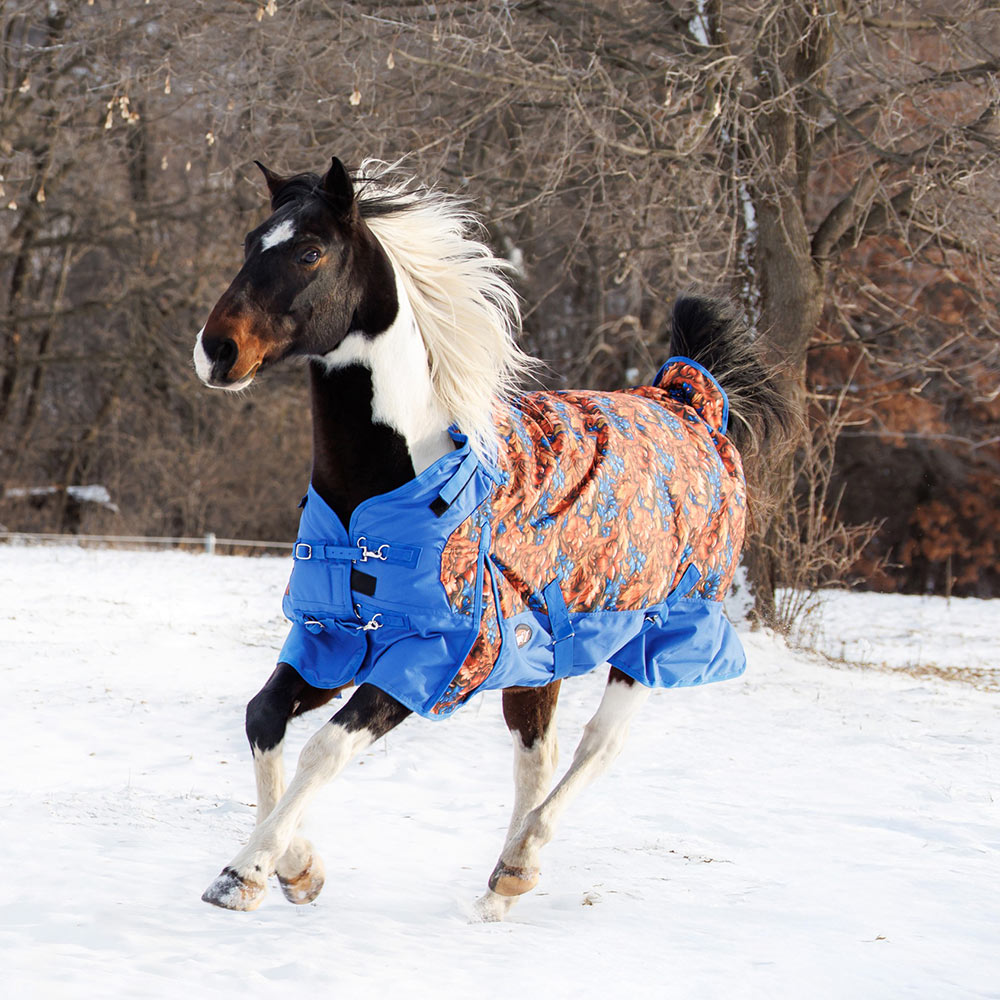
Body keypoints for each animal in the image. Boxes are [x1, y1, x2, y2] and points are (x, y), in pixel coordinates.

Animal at [194, 156, 790, 920]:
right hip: (543, 656)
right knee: (539, 756)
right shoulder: (335, 639)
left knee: (598, 746)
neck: (385, 487)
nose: (217, 351)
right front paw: (296, 869)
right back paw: (503, 887)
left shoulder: (435, 657)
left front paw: (244, 873)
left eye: (309, 253)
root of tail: (687, 402)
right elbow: (262, 718)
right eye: (250, 242)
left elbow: (324, 749)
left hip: (659, 630)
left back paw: (524, 857)